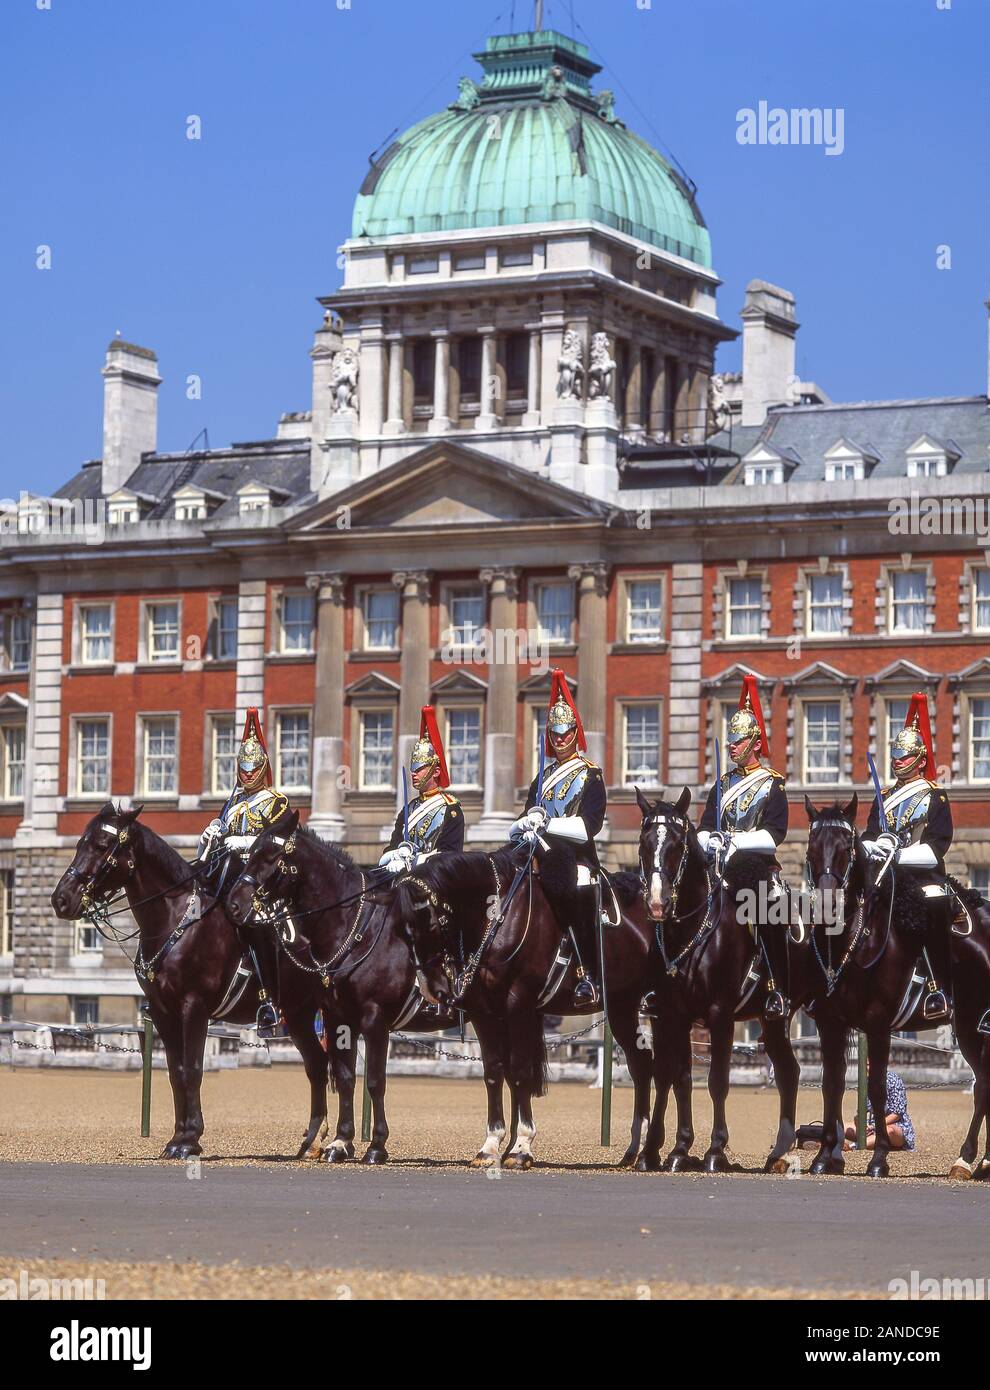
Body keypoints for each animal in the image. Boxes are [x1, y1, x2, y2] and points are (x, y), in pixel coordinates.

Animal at [51, 803, 335, 1161]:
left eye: (102, 846)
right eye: (79, 844)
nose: (61, 899)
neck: (175, 920)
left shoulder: (194, 1009)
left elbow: (194, 1069)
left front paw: (190, 1140)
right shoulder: (163, 1013)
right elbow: (176, 1073)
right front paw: (178, 1138)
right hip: (298, 1015)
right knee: (317, 1064)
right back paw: (314, 1139)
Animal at [391, 839, 655, 1169]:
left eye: (429, 922)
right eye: (401, 929)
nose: (433, 990)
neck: (496, 915)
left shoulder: (518, 1006)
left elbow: (519, 1072)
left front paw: (521, 1147)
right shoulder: (484, 1012)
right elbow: (494, 1072)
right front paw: (491, 1145)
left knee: (646, 1065)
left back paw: (644, 1149)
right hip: (621, 1005)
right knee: (641, 1064)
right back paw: (635, 1149)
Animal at [635, 787, 806, 1174]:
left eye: (677, 844)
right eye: (644, 842)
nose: (657, 903)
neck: (691, 930)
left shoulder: (720, 1015)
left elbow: (717, 1081)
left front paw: (715, 1150)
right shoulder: (673, 1015)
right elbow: (681, 1079)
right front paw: (679, 1150)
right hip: (773, 1021)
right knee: (788, 1071)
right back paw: (779, 1150)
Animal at [805, 796, 990, 1180]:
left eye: (846, 848)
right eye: (812, 848)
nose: (828, 906)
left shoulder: (878, 1024)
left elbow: (876, 1087)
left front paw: (878, 1160)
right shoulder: (831, 1024)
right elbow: (833, 1084)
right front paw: (825, 1157)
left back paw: (968, 1158)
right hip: (968, 1025)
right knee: (984, 1083)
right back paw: (973, 1160)